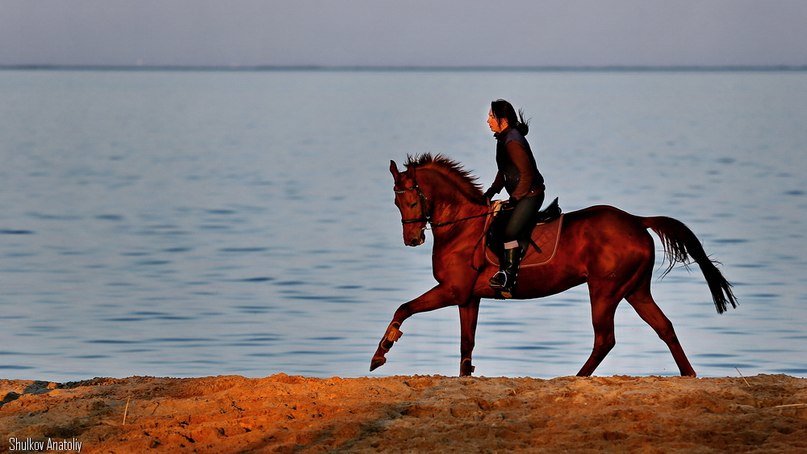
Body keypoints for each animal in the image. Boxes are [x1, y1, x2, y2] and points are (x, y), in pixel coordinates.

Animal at [372, 154, 740, 378]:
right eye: (396, 200)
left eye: (412, 198)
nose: (412, 239)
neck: (463, 225)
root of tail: (636, 220)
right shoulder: (468, 298)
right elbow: (467, 344)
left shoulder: (451, 290)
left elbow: (404, 308)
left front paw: (382, 352)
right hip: (635, 289)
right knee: (664, 327)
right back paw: (689, 375)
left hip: (604, 290)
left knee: (605, 338)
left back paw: (576, 377)